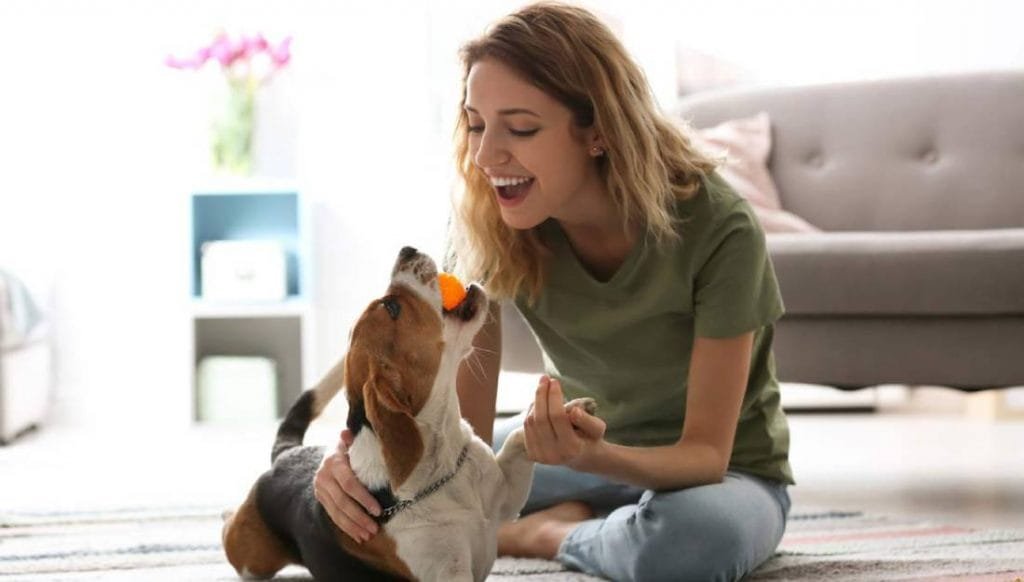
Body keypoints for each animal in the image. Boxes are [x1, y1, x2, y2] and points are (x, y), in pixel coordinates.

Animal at [221, 246, 595, 581]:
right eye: (392, 307)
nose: (407, 249)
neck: (442, 466)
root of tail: (286, 455)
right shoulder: (449, 573)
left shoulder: (505, 499)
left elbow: (519, 438)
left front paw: (565, 414)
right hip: (251, 558)